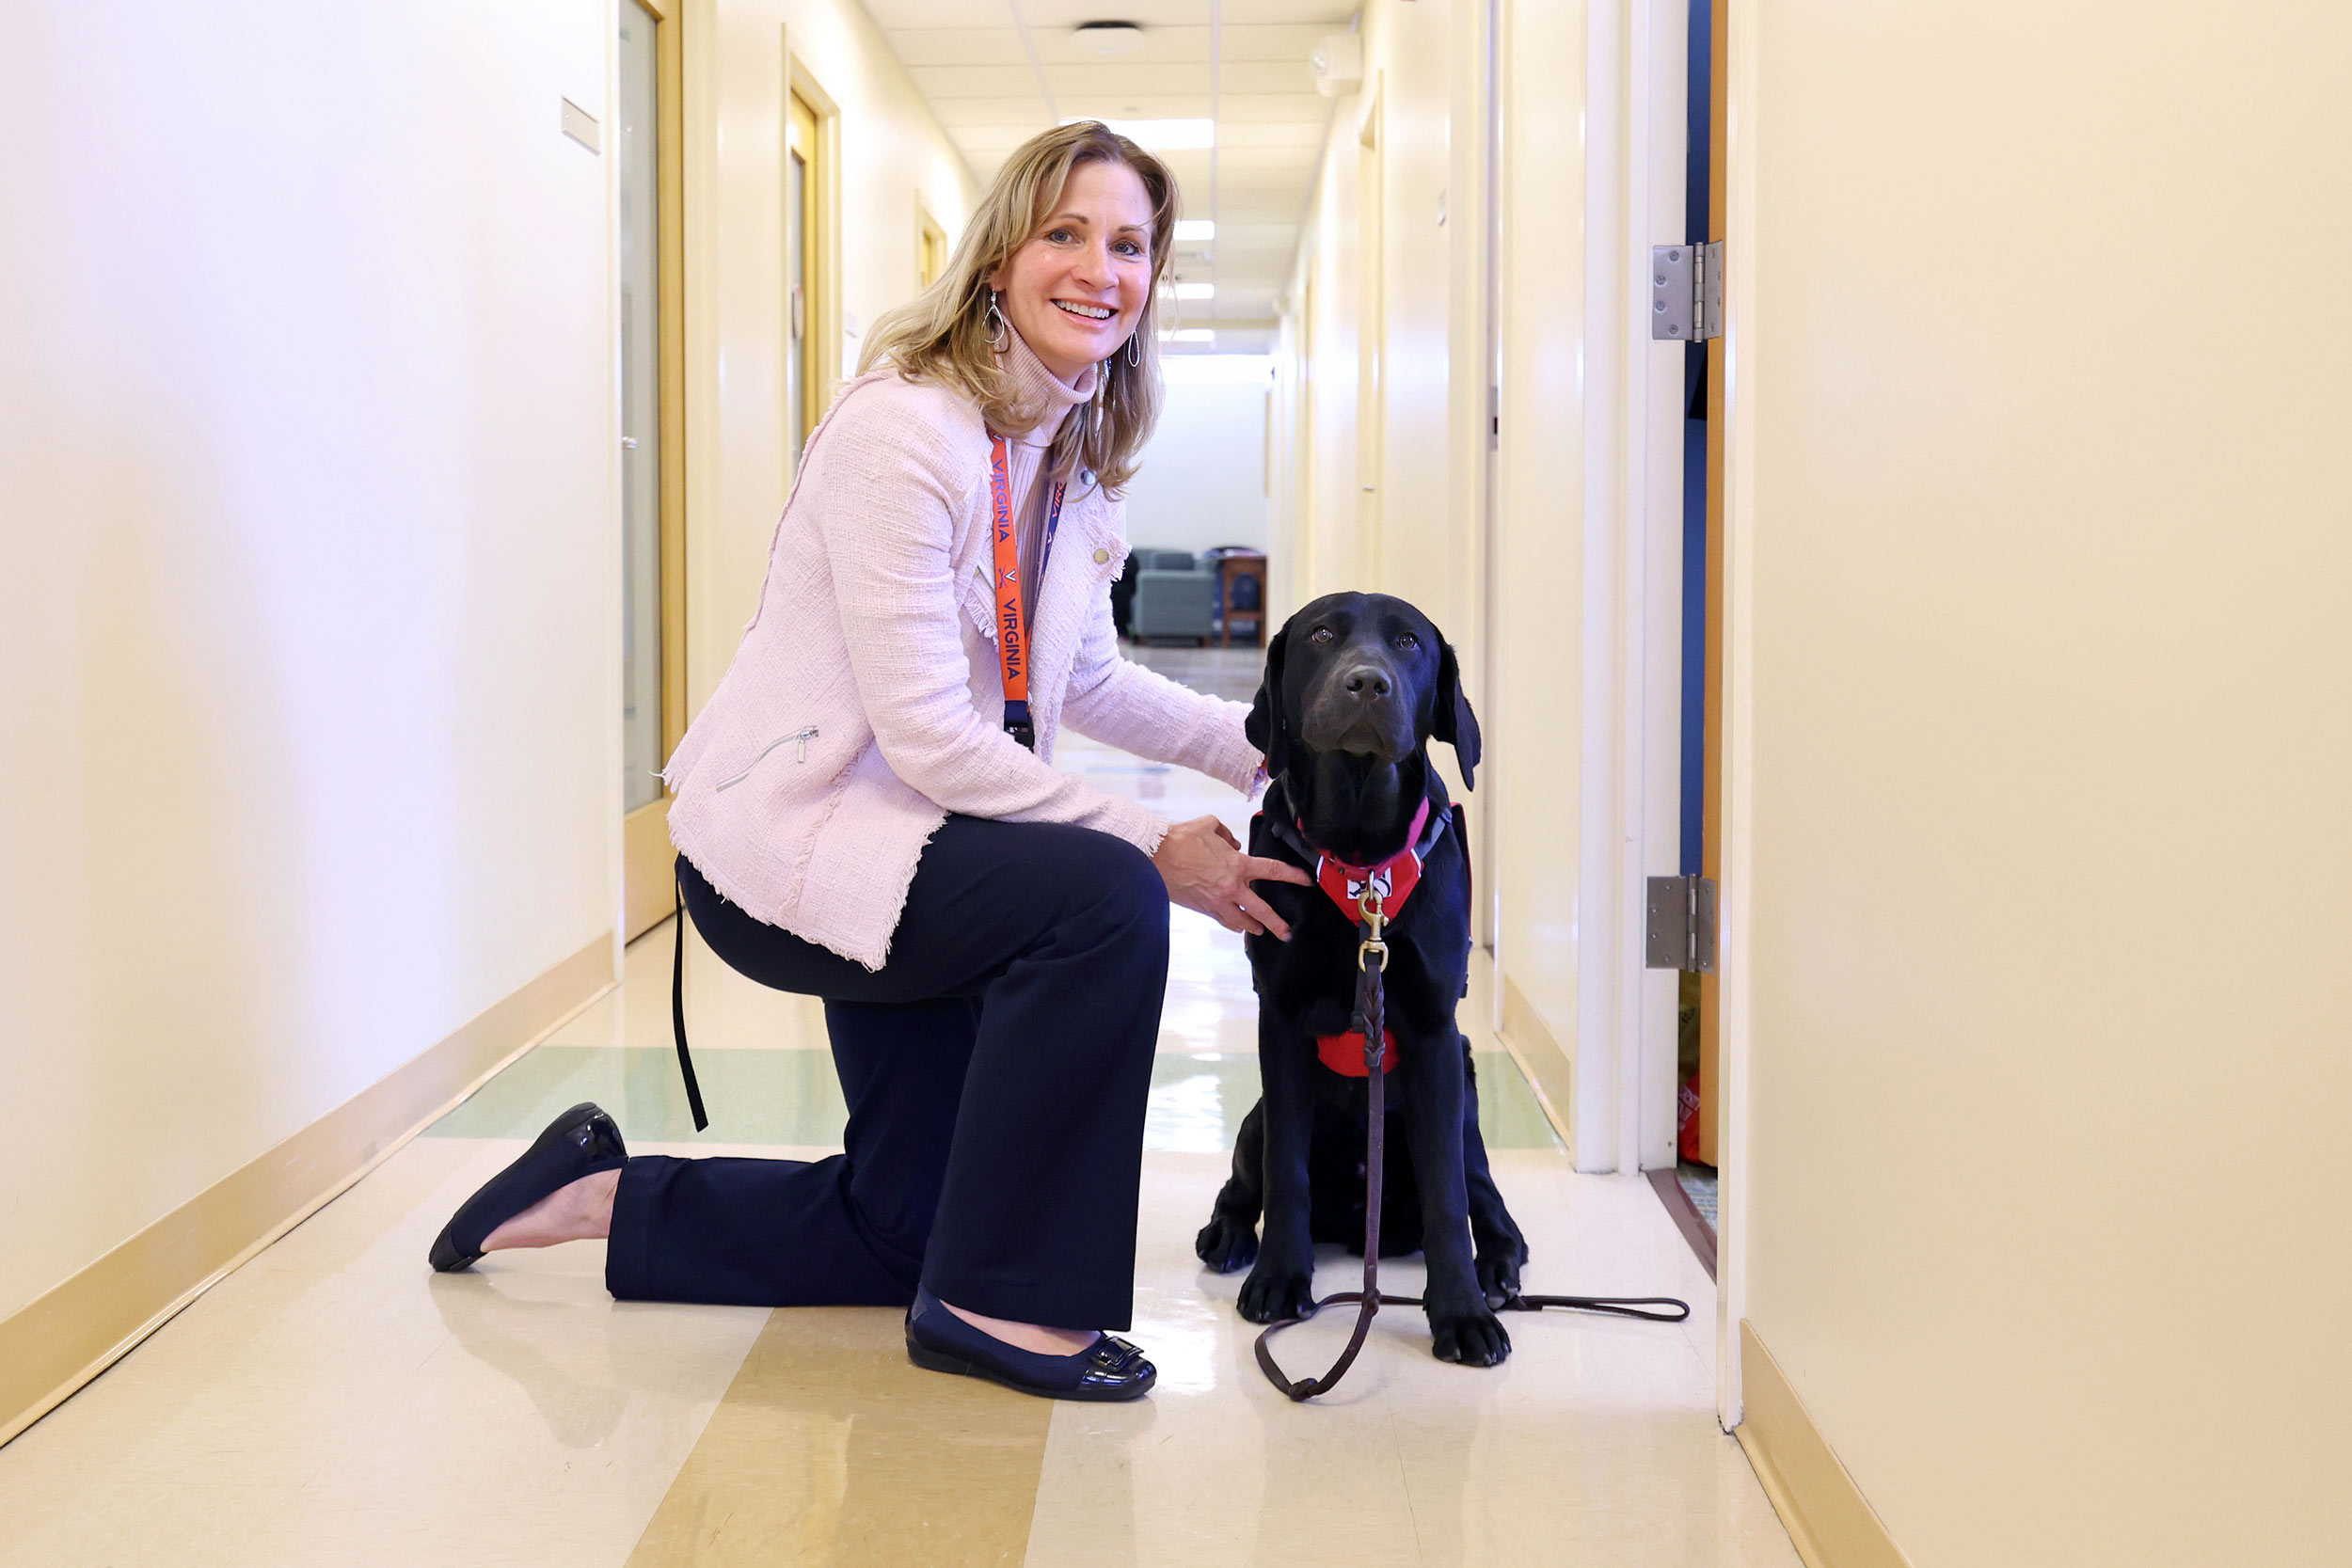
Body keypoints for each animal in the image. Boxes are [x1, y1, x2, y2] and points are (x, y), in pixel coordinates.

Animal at [1195, 594, 1524, 1363]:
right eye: (1321, 635)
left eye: (1408, 643)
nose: (1367, 683)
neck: (1359, 854)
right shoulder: (1280, 1020)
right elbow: (1286, 1172)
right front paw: (1279, 1278)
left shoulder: (1435, 1035)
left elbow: (1446, 1198)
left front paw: (1461, 1312)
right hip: (1253, 1117)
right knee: (1247, 1176)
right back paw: (1228, 1233)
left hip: (1467, 1105)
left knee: (1487, 1200)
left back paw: (1497, 1270)